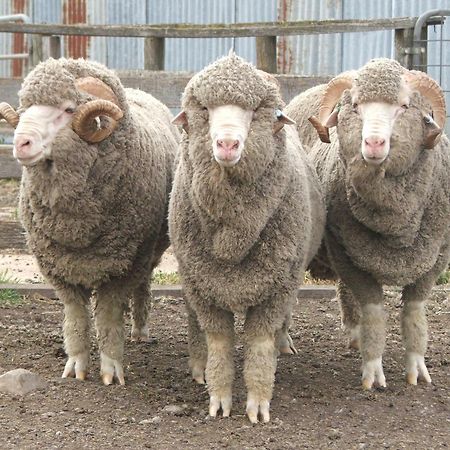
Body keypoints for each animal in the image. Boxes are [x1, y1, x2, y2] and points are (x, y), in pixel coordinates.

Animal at [2, 57, 181, 386]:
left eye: (68, 109)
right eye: (27, 106)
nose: (21, 143)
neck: (78, 230)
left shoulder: (125, 265)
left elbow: (109, 316)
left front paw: (111, 368)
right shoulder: (60, 268)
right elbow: (76, 318)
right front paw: (76, 365)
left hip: (149, 250)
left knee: (144, 284)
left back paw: (139, 329)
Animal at [286, 58, 448, 390]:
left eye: (404, 106)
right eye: (356, 106)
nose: (373, 142)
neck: (395, 226)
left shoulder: (434, 259)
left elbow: (415, 314)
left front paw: (417, 369)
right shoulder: (347, 255)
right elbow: (374, 313)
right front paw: (373, 372)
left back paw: (354, 335)